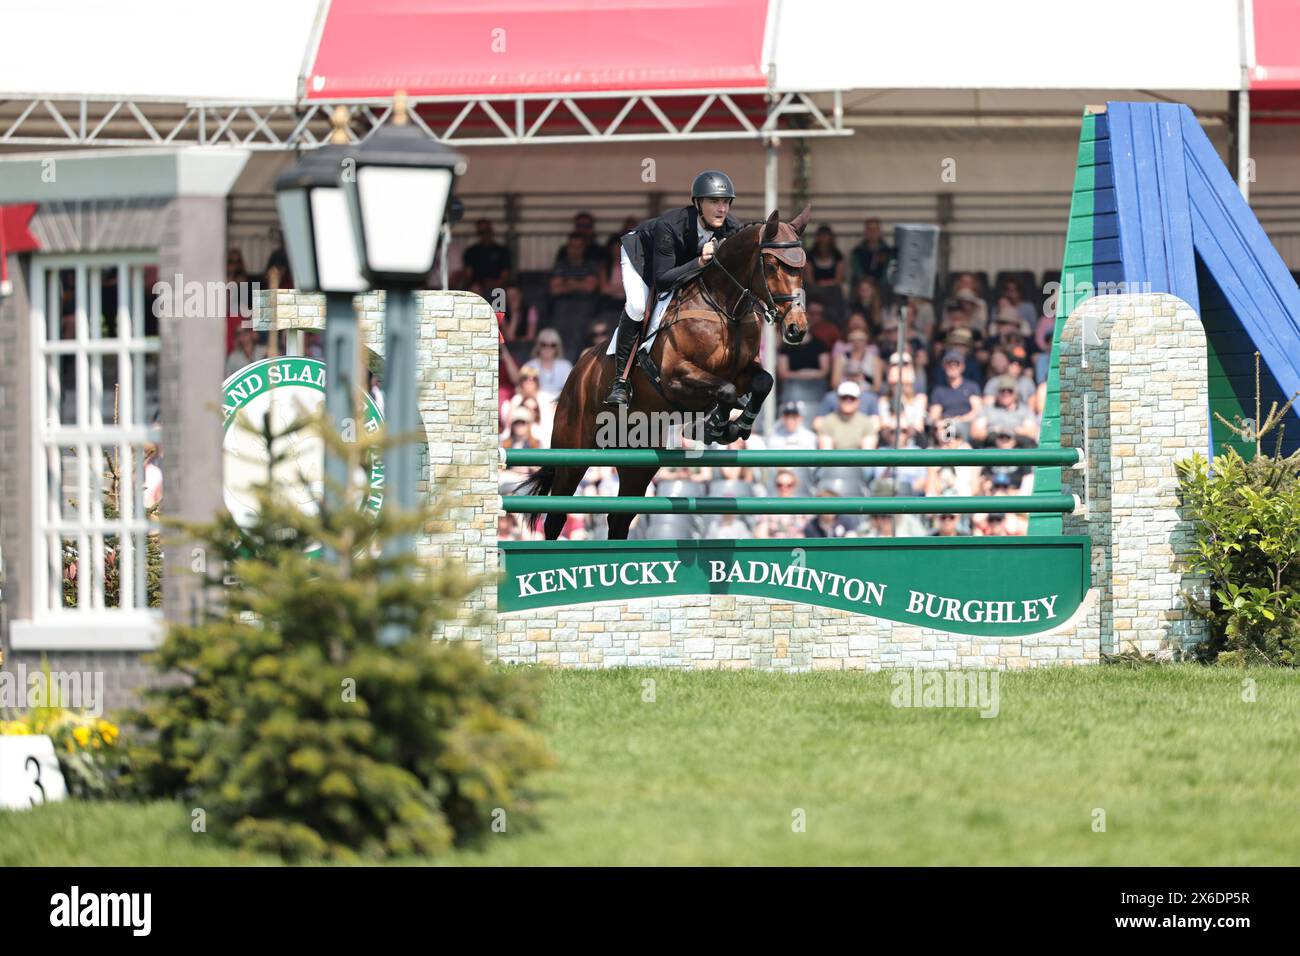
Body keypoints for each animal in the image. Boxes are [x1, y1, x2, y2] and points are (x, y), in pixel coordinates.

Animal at [512, 206, 806, 541]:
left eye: (802, 267)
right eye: (771, 265)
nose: (797, 329)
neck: (723, 307)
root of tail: (577, 372)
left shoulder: (742, 371)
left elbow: (761, 382)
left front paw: (734, 426)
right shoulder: (675, 377)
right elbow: (726, 390)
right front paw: (711, 426)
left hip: (638, 462)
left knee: (619, 518)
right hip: (573, 453)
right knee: (556, 515)